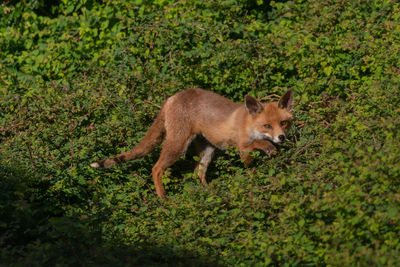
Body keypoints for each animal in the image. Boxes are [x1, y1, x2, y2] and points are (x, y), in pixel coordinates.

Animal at [93, 89, 294, 200]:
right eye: (267, 126)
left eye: (283, 123)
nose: (282, 137)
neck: (247, 122)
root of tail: (173, 97)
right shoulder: (242, 147)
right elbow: (255, 147)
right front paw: (267, 148)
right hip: (178, 145)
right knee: (156, 168)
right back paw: (163, 198)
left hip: (208, 151)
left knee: (198, 173)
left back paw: (208, 193)